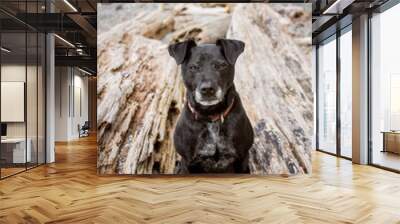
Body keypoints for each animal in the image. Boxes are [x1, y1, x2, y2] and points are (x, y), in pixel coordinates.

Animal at [169, 39, 253, 174]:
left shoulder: (242, 160)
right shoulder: (188, 163)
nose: (207, 89)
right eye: (194, 67)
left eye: (221, 65)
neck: (211, 116)